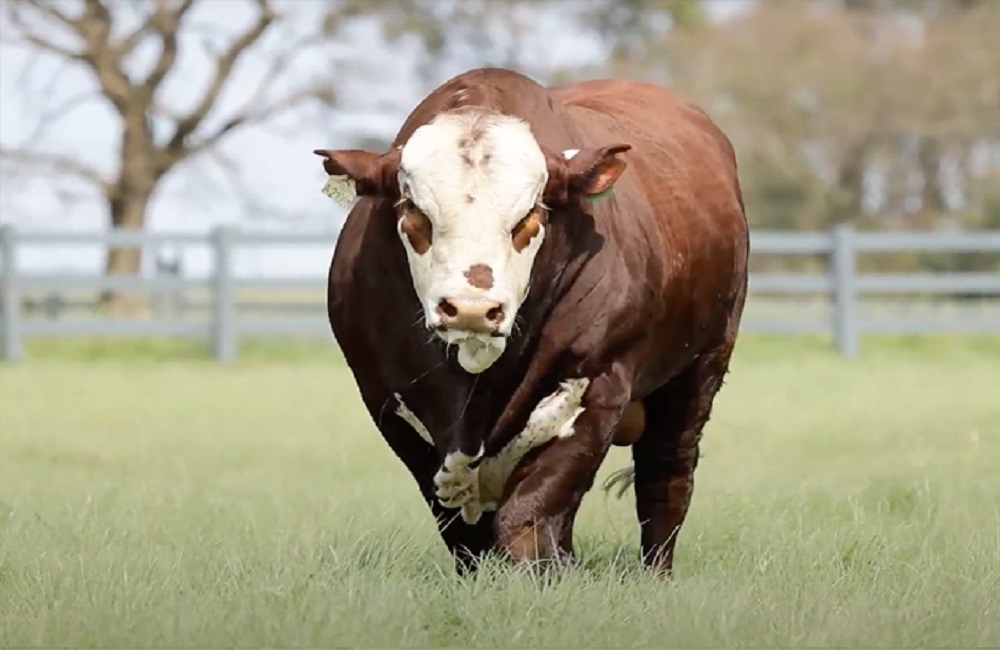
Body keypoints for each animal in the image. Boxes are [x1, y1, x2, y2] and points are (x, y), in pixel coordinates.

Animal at [316, 67, 748, 572]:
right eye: (413, 211)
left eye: (530, 215)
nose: (471, 308)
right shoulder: (387, 401)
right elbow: (463, 529)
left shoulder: (597, 385)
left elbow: (531, 518)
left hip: (701, 367)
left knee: (666, 476)